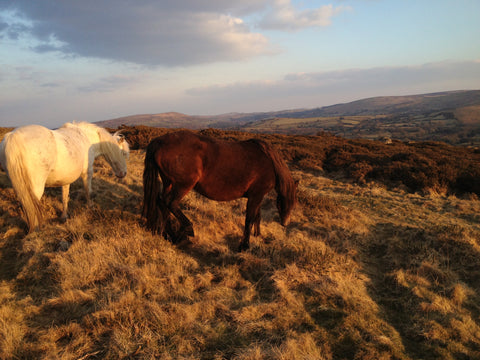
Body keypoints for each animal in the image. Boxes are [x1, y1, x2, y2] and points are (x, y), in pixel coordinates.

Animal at [0, 122, 129, 232]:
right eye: (123, 153)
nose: (123, 174)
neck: (86, 138)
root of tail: (13, 137)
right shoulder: (87, 173)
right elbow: (88, 192)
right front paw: (91, 209)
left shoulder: (66, 179)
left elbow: (65, 197)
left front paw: (64, 216)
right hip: (35, 188)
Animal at [142, 131, 296, 252]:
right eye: (290, 201)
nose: (286, 223)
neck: (270, 162)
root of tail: (158, 141)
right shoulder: (256, 196)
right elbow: (250, 219)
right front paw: (244, 246)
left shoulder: (256, 196)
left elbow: (257, 217)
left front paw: (257, 236)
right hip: (183, 185)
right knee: (170, 202)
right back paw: (187, 230)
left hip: (168, 182)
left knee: (162, 203)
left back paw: (170, 235)